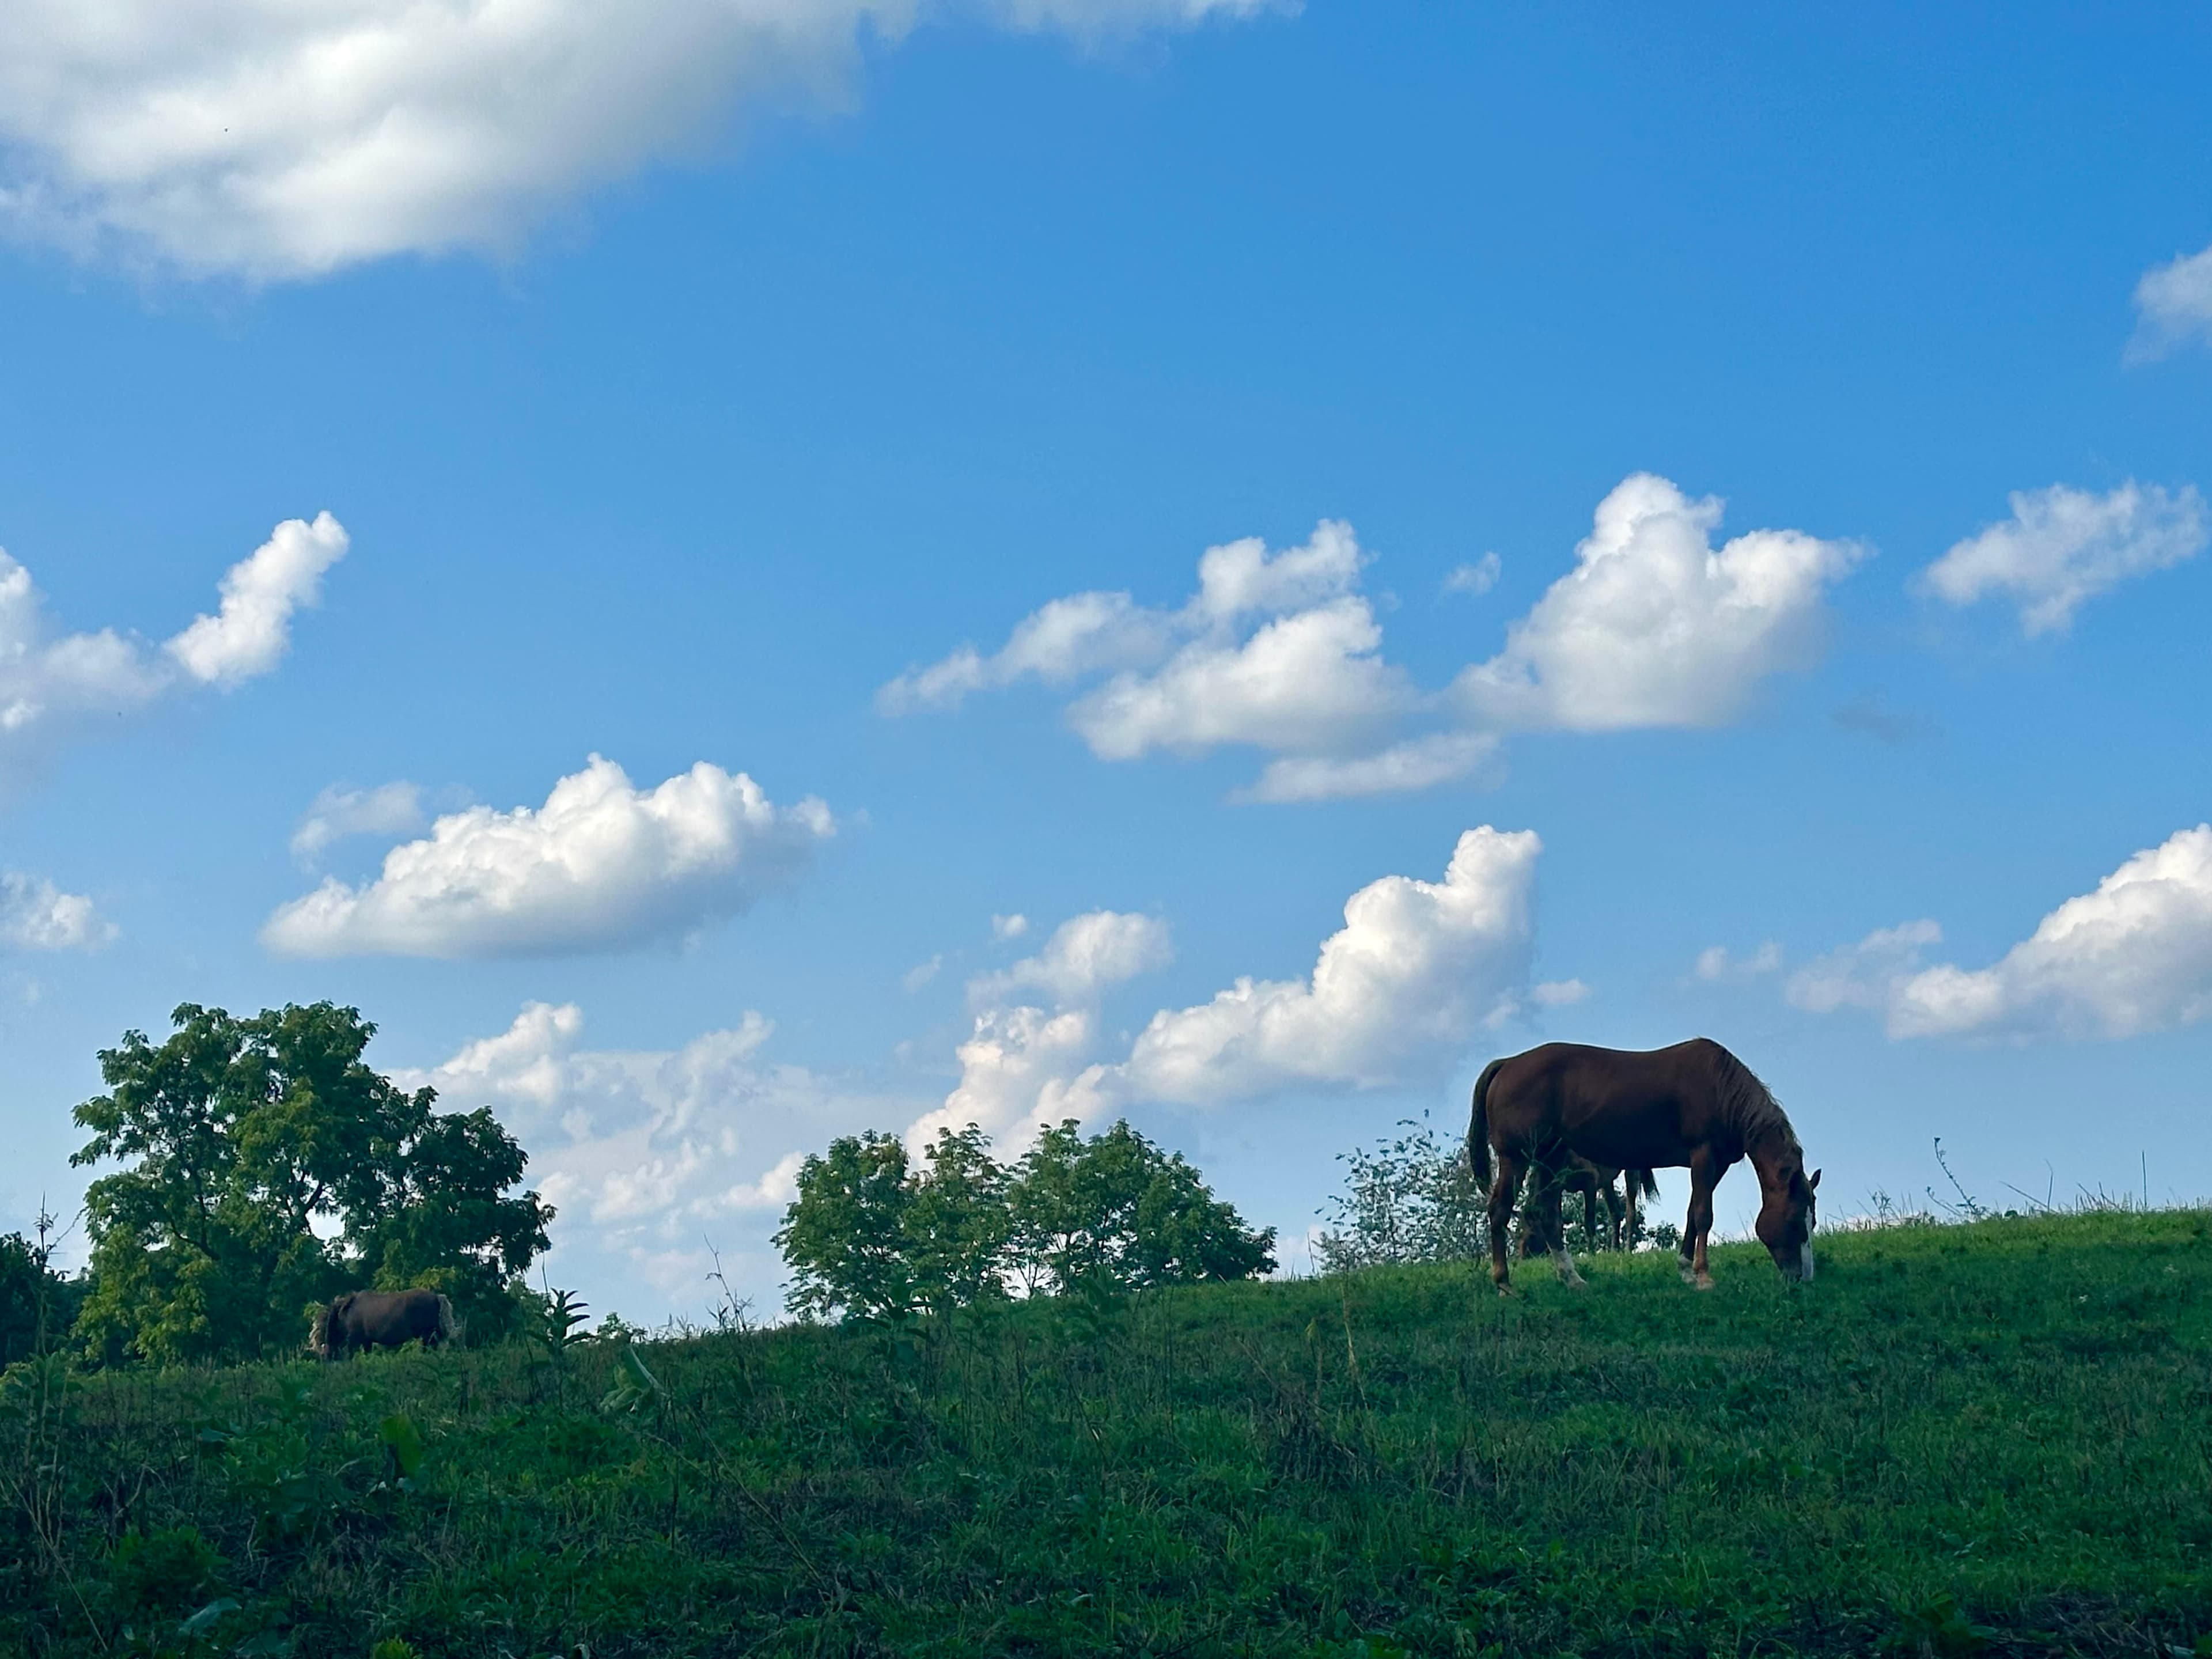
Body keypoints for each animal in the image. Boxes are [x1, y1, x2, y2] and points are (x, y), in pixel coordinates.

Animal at [313, 1289, 457, 1359]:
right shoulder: (367, 1342)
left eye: (325, 1357)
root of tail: (436, 1297)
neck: (347, 1312)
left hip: (427, 1335)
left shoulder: (354, 1341)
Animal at [1470, 1037, 1818, 1294]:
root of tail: (1507, 1064)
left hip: (1549, 1158)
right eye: (1795, 1222)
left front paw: (1685, 1270)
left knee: (1544, 1213)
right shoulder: (1703, 1155)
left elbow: (1692, 1213)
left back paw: (1571, 1278)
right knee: (1500, 1210)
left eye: (1811, 1222)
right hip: (1515, 1158)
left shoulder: (1716, 1164)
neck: (1721, 1089)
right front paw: (1703, 1276)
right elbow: (1704, 1215)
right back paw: (1504, 1283)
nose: (1803, 1278)